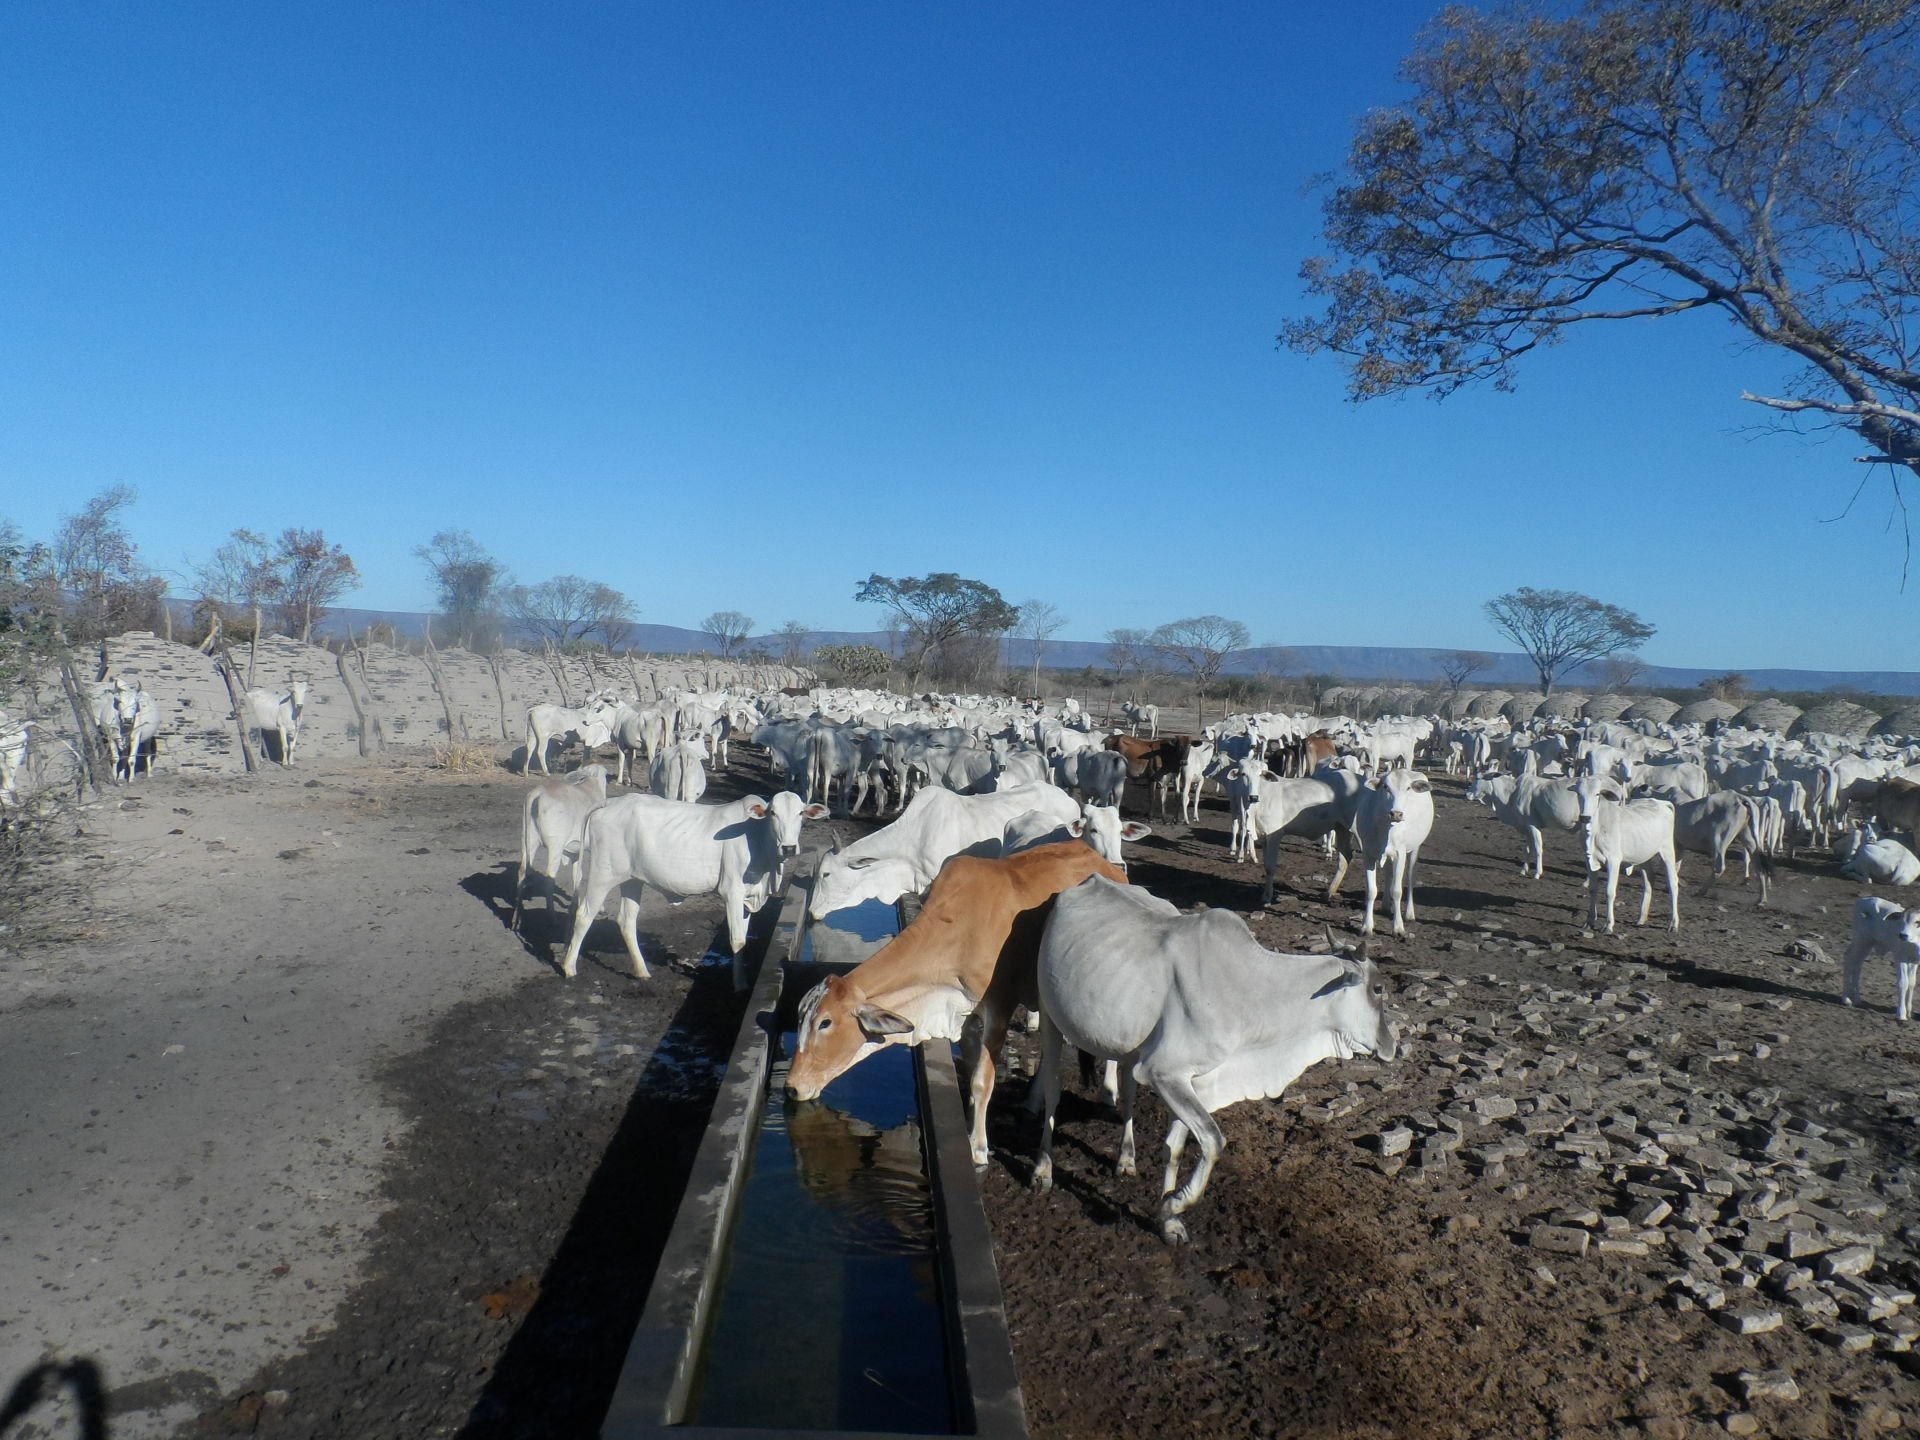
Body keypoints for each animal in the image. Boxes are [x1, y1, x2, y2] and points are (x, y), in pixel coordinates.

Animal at [510, 768, 606, 936]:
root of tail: (538, 794)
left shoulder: (575, 851)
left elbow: (577, 876)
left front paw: (575, 903)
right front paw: (600, 907)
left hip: (528, 841)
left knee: (522, 871)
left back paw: (516, 917)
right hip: (555, 846)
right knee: (549, 876)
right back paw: (552, 918)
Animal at [556, 791, 825, 983]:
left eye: (800, 813)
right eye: (773, 813)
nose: (789, 848)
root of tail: (610, 802)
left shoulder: (748, 899)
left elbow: (744, 940)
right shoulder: (732, 892)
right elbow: (737, 941)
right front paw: (739, 986)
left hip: (632, 879)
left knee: (626, 921)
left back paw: (642, 972)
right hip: (602, 874)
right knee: (584, 915)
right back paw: (569, 967)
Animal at [1036, 875, 1397, 1244]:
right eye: (1378, 989)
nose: (1391, 1045)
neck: (1249, 992)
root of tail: (1090, 879)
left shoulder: (1195, 1081)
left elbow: (1174, 1148)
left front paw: (1168, 1220)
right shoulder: (1164, 1073)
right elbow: (1212, 1140)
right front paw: (1175, 1203)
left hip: (1127, 1045)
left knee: (1127, 1091)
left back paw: (1126, 1159)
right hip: (1049, 1014)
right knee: (1052, 1091)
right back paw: (1043, 1169)